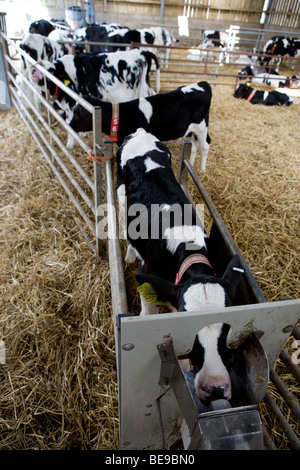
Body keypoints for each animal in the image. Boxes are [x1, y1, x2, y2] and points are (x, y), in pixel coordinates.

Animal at [68, 81, 211, 170]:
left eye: (77, 113)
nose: (69, 124)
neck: (121, 116)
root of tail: (203, 83)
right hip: (191, 130)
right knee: (195, 145)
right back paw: (191, 163)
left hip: (202, 128)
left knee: (205, 146)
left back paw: (202, 169)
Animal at [116, 129, 246, 404]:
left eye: (227, 329)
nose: (215, 387)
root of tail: (141, 132)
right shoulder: (147, 278)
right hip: (121, 197)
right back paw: (131, 254)